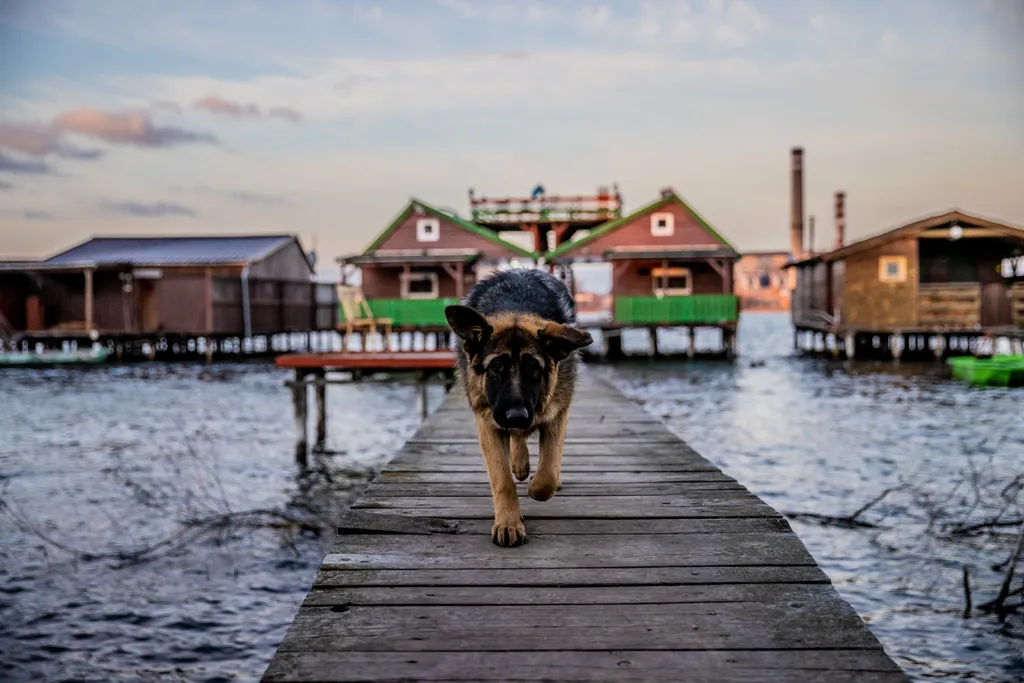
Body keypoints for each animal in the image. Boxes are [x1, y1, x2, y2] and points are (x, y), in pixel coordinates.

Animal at [446, 270, 593, 548]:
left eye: (532, 367)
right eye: (496, 366)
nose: (517, 416)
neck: (515, 306)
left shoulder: (556, 414)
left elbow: (548, 475)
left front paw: (537, 485)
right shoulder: (488, 424)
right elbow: (502, 480)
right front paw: (508, 523)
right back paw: (519, 462)